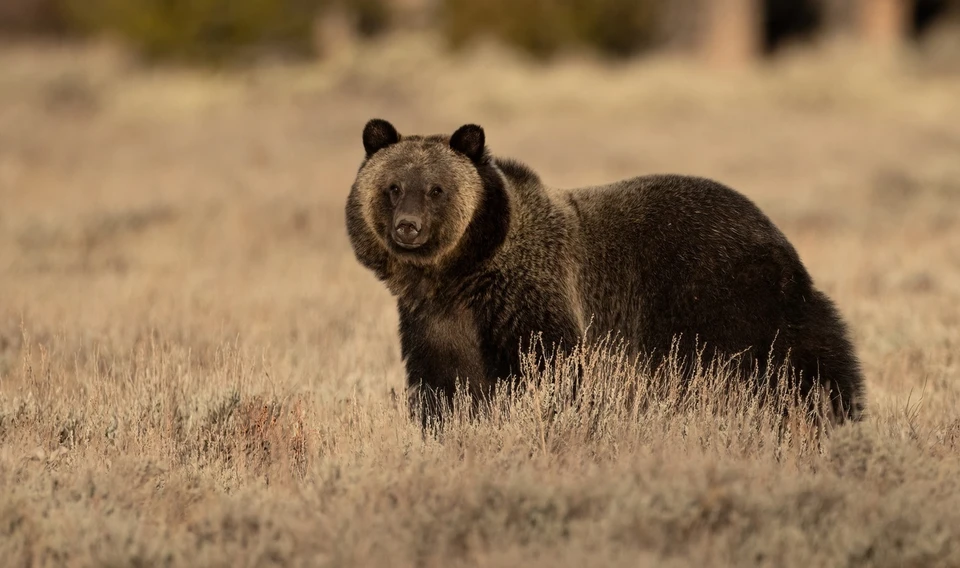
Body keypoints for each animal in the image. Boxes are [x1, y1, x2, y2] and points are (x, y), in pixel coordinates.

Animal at [344, 118, 864, 426]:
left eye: (435, 188)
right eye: (393, 186)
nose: (408, 227)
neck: (460, 274)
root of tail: (774, 230)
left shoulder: (530, 294)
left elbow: (552, 365)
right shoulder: (436, 320)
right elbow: (445, 384)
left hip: (726, 297)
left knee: (801, 361)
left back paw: (833, 413)